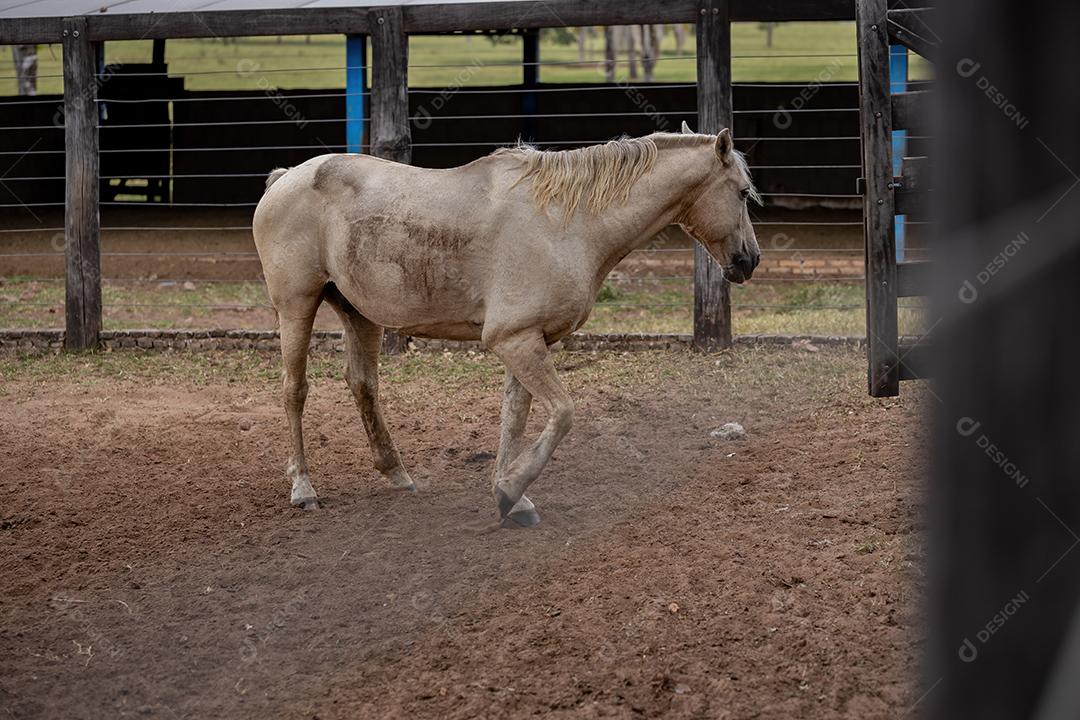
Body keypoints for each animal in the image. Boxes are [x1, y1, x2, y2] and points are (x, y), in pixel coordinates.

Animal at [251, 124, 760, 526]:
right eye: (741, 192)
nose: (749, 260)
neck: (564, 223)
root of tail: (285, 179)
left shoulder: (528, 341)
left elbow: (514, 417)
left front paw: (511, 496)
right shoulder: (514, 341)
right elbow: (562, 414)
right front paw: (511, 490)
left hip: (359, 314)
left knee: (362, 385)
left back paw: (397, 473)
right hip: (296, 306)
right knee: (294, 390)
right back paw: (304, 490)